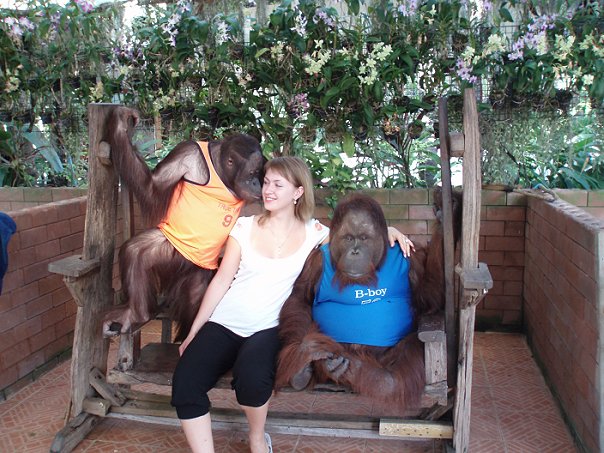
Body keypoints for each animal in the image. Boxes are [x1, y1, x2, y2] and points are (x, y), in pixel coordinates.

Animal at [101, 107, 266, 341]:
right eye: (252, 173)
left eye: (259, 173)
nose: (256, 183)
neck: (221, 172)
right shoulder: (186, 153)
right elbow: (151, 187)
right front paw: (120, 122)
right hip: (173, 251)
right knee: (136, 250)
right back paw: (137, 313)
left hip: (197, 275)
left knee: (196, 301)